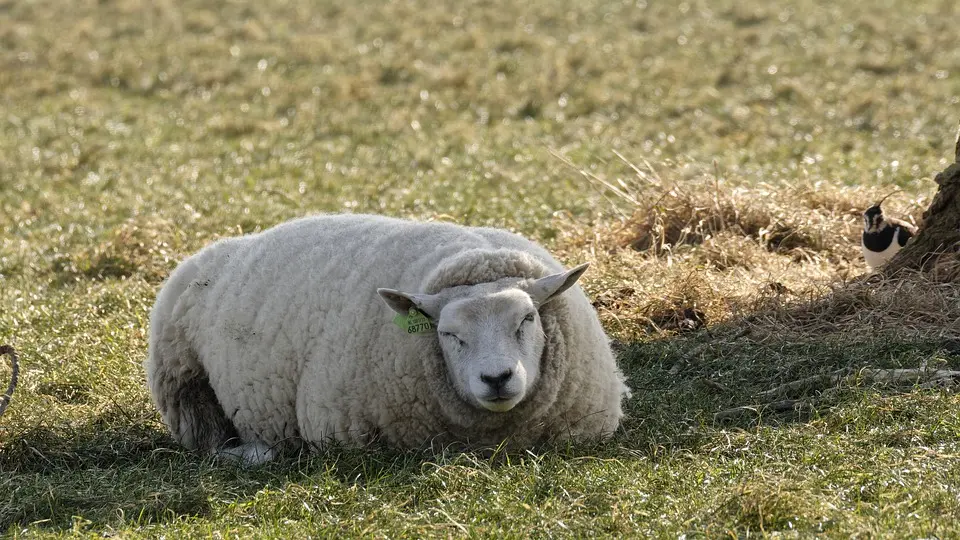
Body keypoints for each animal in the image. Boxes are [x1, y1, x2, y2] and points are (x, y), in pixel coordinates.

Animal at [144, 213, 632, 466]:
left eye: (527, 318)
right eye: (449, 335)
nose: (497, 379)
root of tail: (219, 248)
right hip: (183, 384)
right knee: (209, 439)